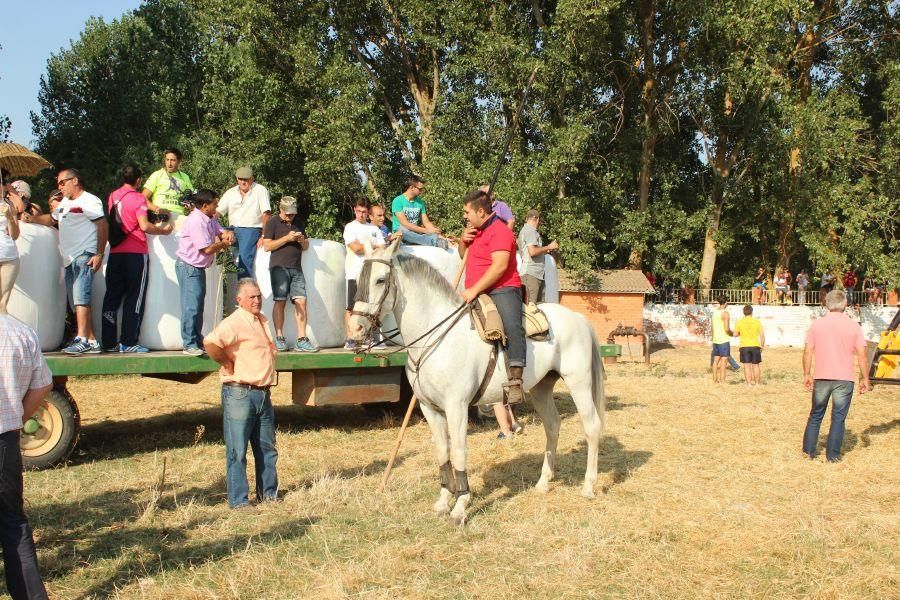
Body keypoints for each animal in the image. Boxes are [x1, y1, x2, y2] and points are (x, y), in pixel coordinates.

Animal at [350, 239, 604, 524]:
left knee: (591, 427)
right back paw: (543, 483)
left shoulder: (456, 407)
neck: (436, 336)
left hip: (579, 384)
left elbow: (459, 451)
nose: (355, 328)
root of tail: (578, 318)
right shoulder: (429, 409)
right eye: (359, 278)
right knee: (552, 426)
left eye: (381, 280)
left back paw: (588, 486)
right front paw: (443, 501)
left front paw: (460, 506)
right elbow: (443, 452)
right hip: (541, 388)